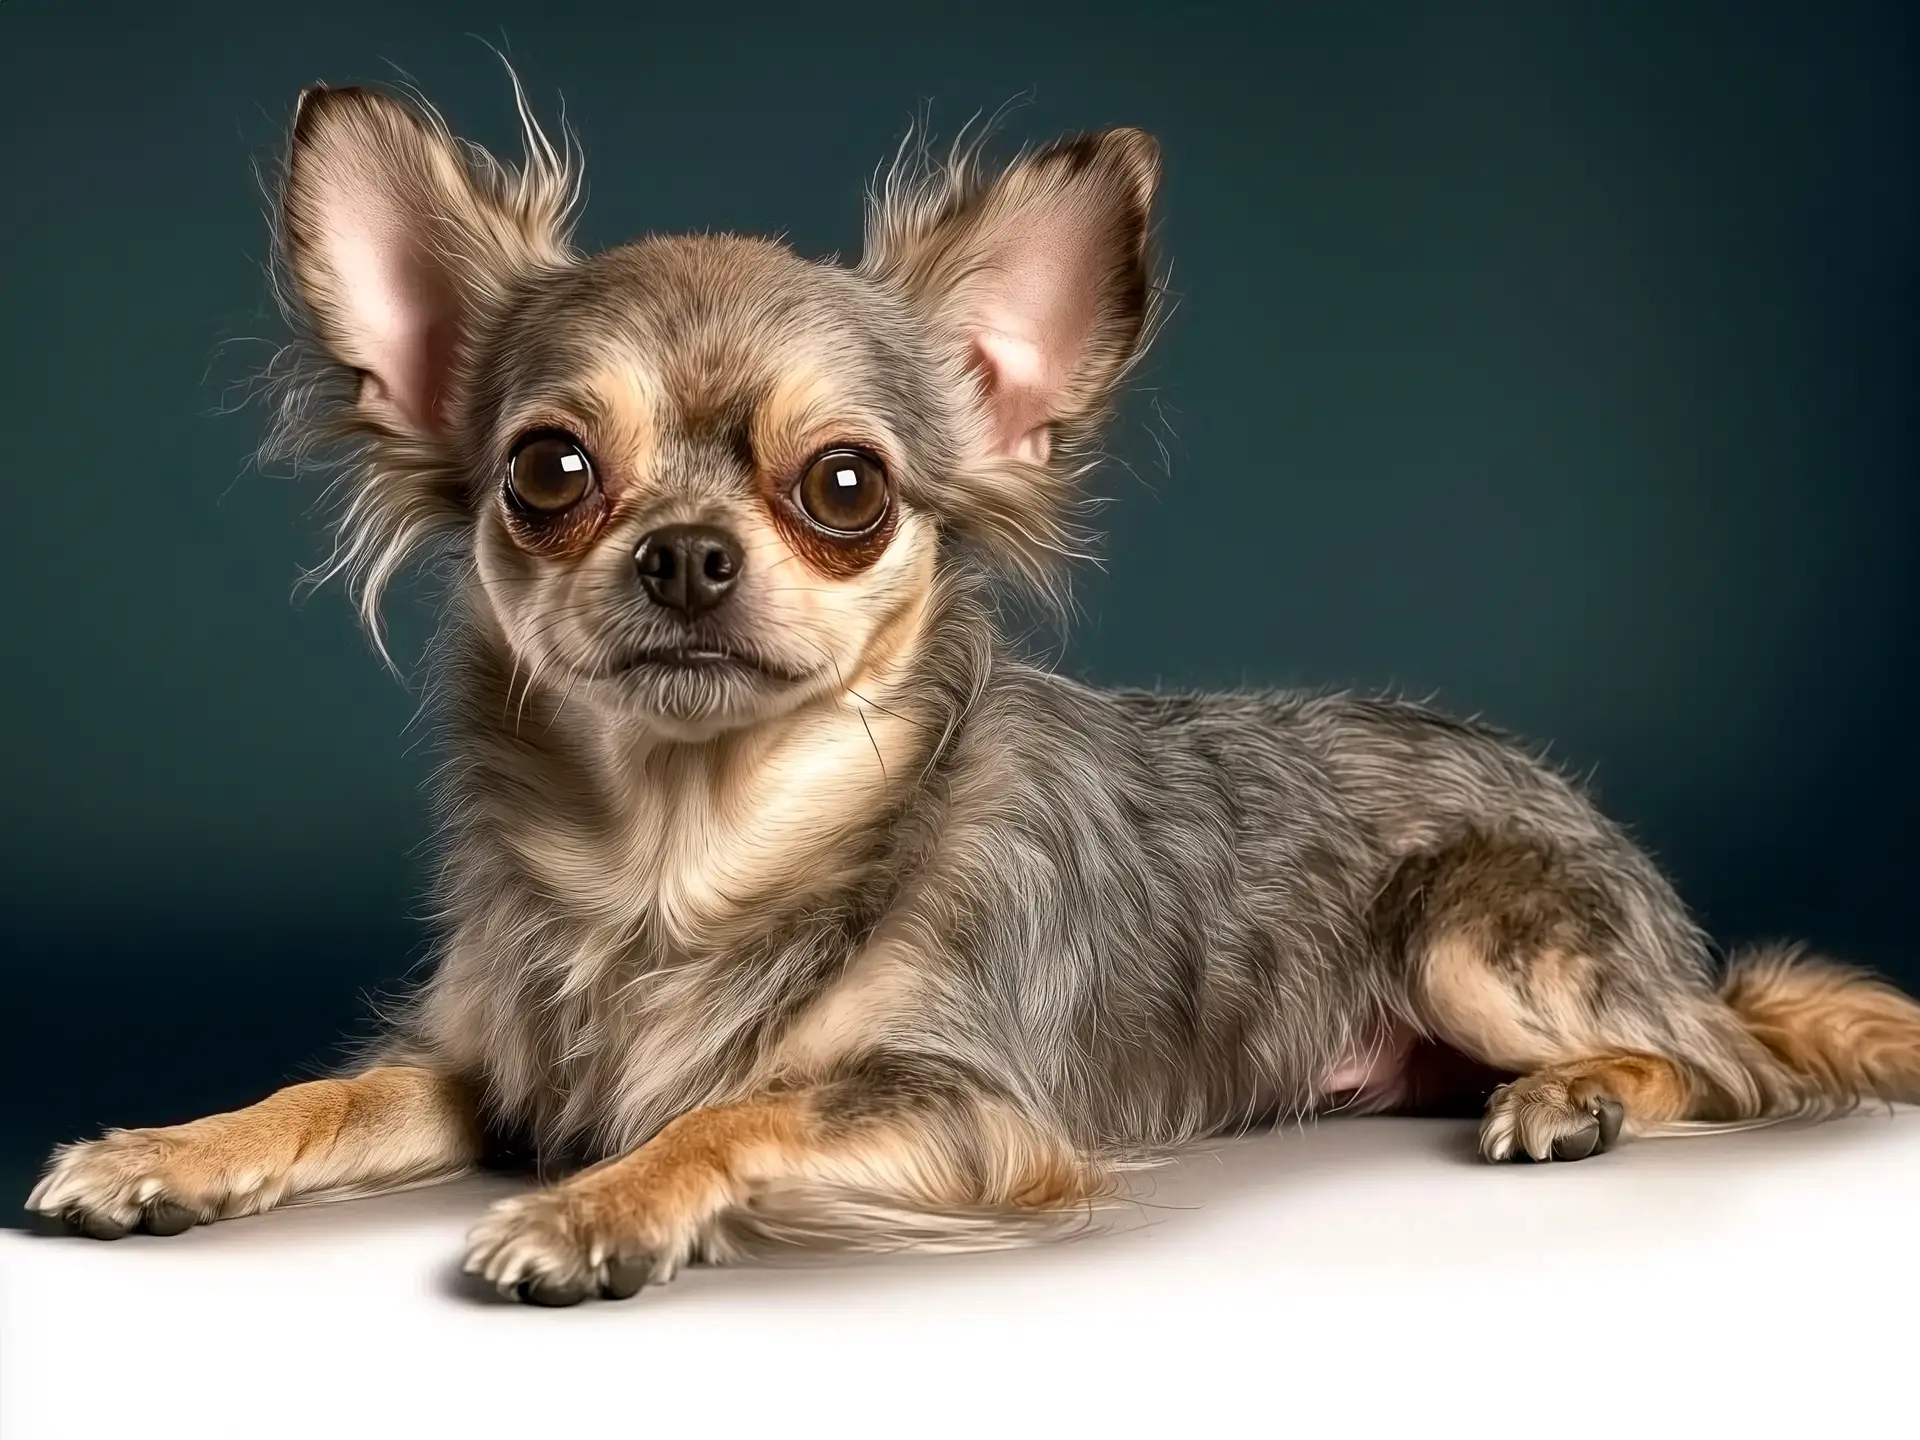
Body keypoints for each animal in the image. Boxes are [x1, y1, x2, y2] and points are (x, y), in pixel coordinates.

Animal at [26, 78, 1920, 1305]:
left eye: (845, 489)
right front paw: (164, 1150)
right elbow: (326, 1094)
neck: (682, 863)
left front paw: (601, 1209)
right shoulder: (488, 1070)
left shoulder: (965, 1109)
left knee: (1735, 1070)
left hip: (1473, 921)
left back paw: (1582, 1095)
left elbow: (739, 1108)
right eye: (548, 471)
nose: (688, 554)